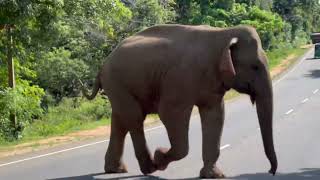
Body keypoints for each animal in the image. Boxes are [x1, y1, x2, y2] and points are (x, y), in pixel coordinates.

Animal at [82, 24, 278, 179]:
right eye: (255, 67)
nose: (271, 171)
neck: (223, 34)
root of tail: (103, 64)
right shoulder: (180, 78)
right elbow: (170, 113)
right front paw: (159, 157)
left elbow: (215, 115)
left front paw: (213, 175)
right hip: (117, 83)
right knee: (134, 118)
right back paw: (149, 168)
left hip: (119, 86)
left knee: (120, 121)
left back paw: (116, 170)